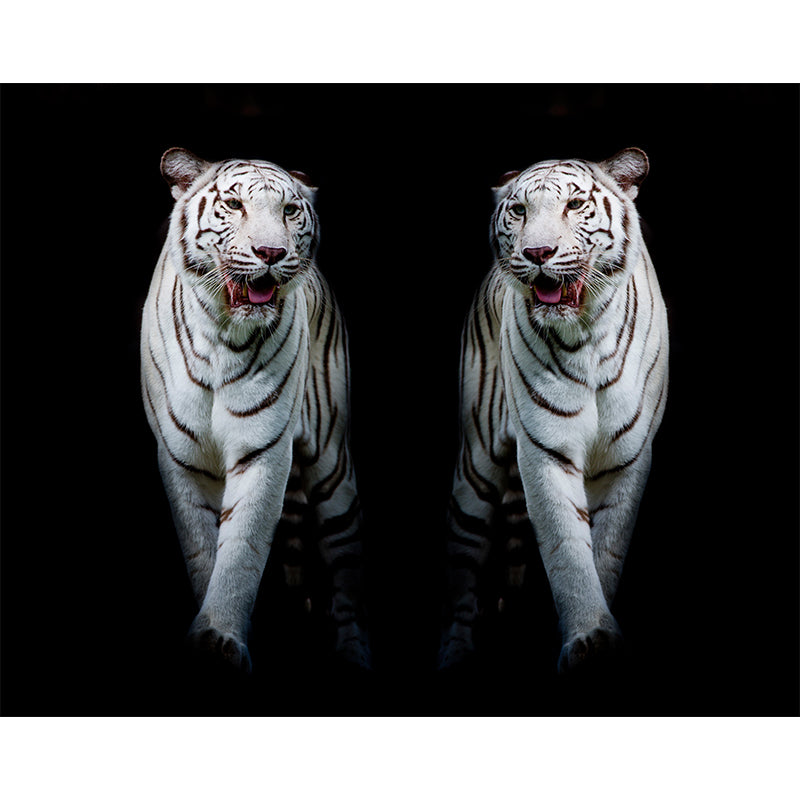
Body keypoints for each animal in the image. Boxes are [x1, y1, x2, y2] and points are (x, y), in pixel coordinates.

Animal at [141, 147, 368, 672]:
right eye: (234, 205)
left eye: (289, 211)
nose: (270, 253)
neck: (222, 335)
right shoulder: (181, 457)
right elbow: (203, 550)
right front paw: (210, 637)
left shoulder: (263, 449)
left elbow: (242, 547)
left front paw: (220, 636)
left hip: (332, 466)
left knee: (346, 564)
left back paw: (353, 652)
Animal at [439, 148, 668, 673]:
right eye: (520, 211)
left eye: (575, 205)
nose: (538, 253)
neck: (587, 335)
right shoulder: (546, 449)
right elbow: (566, 547)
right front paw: (588, 636)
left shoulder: (627, 457)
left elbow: (606, 550)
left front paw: (600, 638)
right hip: (476, 465)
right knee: (463, 566)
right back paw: (455, 652)